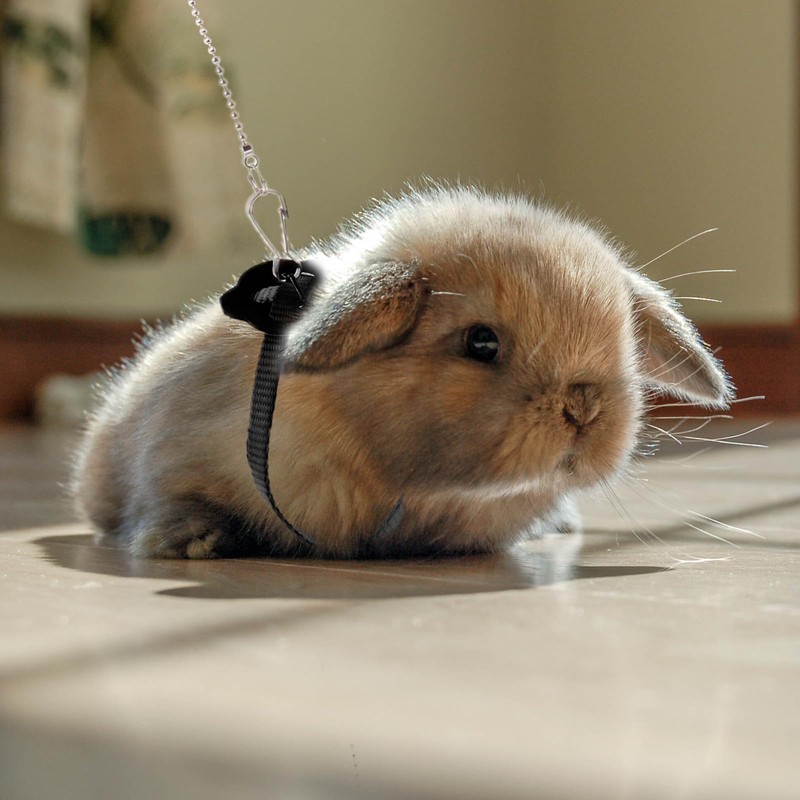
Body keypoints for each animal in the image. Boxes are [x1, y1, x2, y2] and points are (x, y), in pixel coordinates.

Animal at [72, 186, 733, 559]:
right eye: (480, 342)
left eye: (623, 345)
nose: (584, 406)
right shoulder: (171, 454)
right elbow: (170, 500)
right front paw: (192, 542)